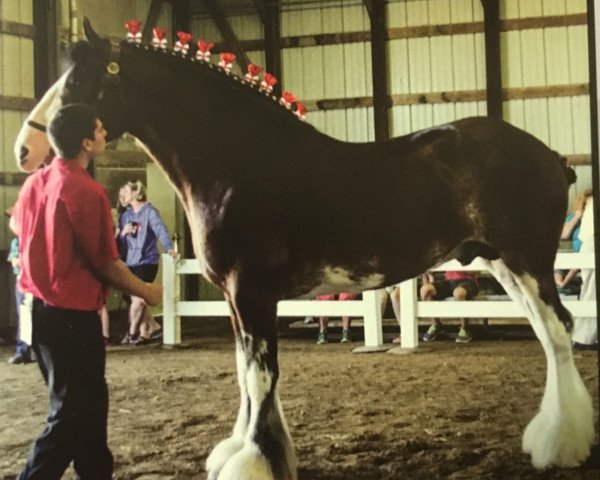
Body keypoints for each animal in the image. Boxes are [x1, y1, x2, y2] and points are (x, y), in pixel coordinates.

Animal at [15, 18, 596, 480]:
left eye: (79, 79)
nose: (25, 147)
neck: (238, 163)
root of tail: (550, 156)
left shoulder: (251, 291)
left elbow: (259, 375)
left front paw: (253, 462)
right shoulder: (237, 298)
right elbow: (246, 373)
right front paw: (248, 450)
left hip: (527, 263)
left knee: (560, 332)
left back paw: (561, 445)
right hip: (503, 265)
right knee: (548, 335)